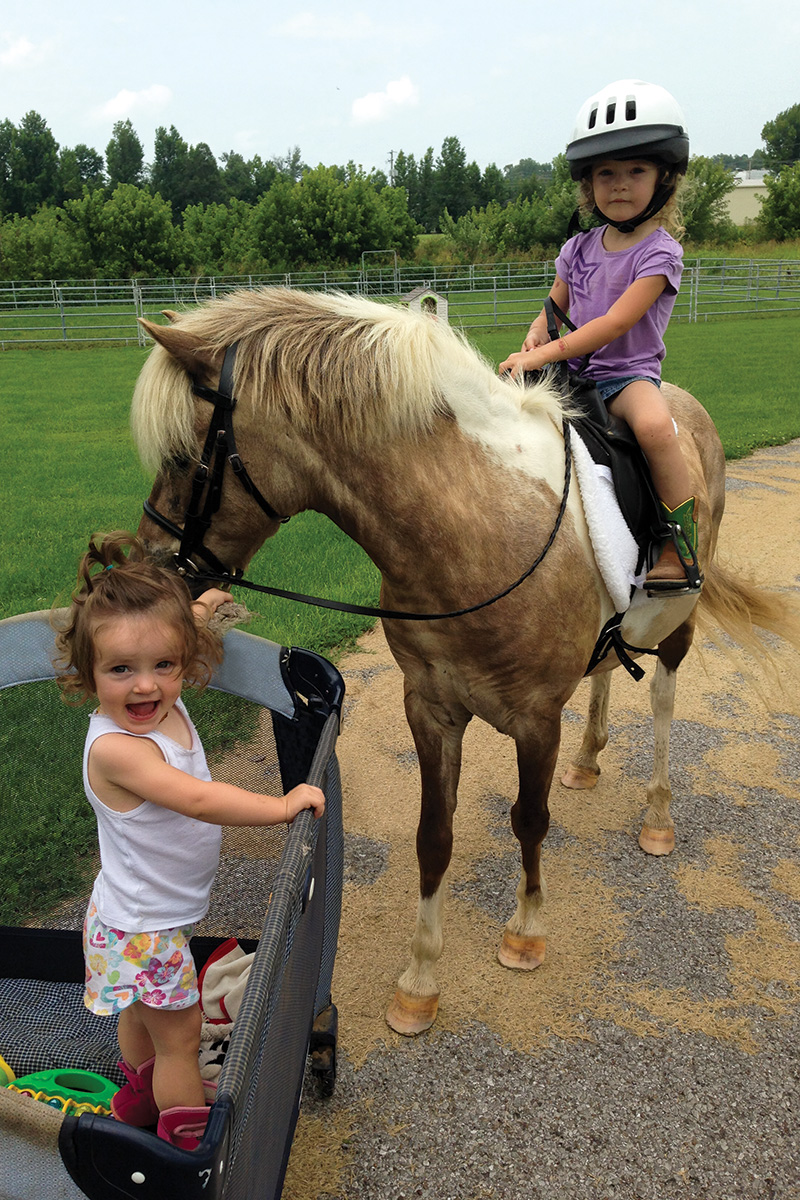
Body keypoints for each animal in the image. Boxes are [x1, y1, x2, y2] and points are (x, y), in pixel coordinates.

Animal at [130, 285, 786, 1036]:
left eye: (185, 457)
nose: (152, 565)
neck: (475, 526)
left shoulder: (536, 720)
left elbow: (529, 820)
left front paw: (525, 933)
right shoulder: (431, 708)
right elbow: (432, 837)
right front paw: (419, 980)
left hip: (680, 622)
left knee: (664, 702)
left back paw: (657, 816)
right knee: (606, 678)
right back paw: (589, 760)